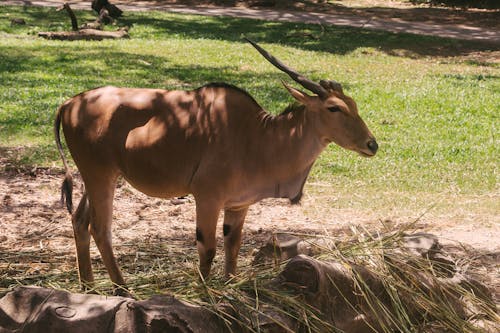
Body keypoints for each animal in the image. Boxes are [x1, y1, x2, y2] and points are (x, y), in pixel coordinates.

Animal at [54, 39, 376, 294]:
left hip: (97, 178)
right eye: (334, 108)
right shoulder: (207, 198)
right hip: (101, 176)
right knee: (100, 229)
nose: (372, 144)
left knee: (79, 221)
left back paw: (88, 286)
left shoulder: (238, 205)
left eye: (353, 104)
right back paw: (122, 289)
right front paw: (203, 292)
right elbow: (207, 249)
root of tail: (70, 103)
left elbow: (233, 245)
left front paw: (230, 286)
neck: (258, 135)